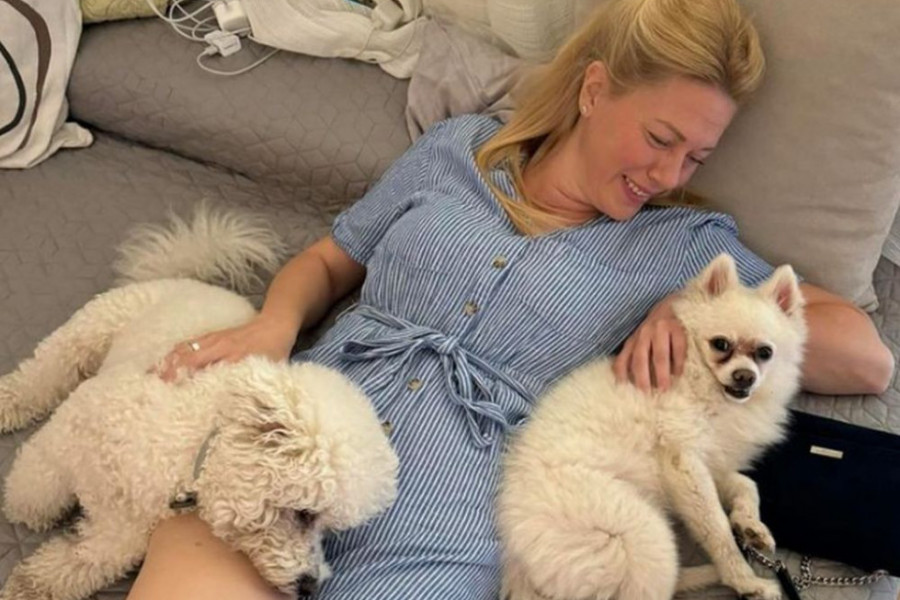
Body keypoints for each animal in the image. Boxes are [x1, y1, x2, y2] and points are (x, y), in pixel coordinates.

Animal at [0, 206, 398, 600]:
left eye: (327, 529)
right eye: (304, 513)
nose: (309, 585)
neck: (187, 453)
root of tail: (194, 279)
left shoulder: (125, 530)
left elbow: (79, 564)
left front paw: (27, 585)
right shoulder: (67, 436)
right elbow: (37, 482)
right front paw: (23, 507)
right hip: (97, 325)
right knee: (47, 369)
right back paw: (9, 402)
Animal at [497, 254, 806, 600]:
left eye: (765, 353)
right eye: (721, 344)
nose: (745, 377)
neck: (704, 385)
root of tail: (518, 563)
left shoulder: (711, 461)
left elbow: (745, 485)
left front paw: (750, 525)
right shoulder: (684, 464)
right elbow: (716, 529)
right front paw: (743, 576)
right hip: (643, 535)